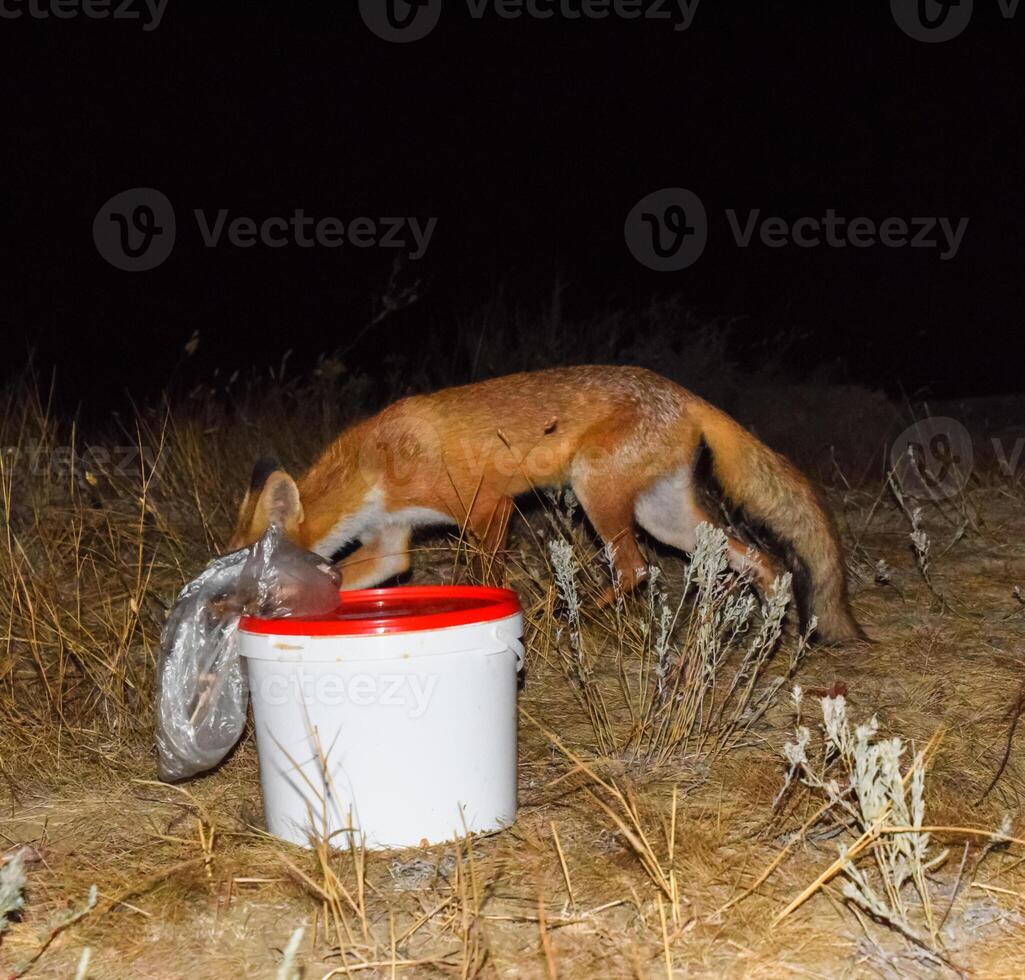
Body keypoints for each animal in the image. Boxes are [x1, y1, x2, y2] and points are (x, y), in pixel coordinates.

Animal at [230, 364, 865, 643]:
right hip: (665, 518)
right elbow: (366, 573)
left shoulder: (487, 506)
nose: (232, 616)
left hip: (597, 493)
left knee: (634, 570)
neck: (377, 463)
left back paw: (559, 613)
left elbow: (485, 577)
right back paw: (768, 627)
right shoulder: (391, 544)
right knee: (761, 559)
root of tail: (684, 392)